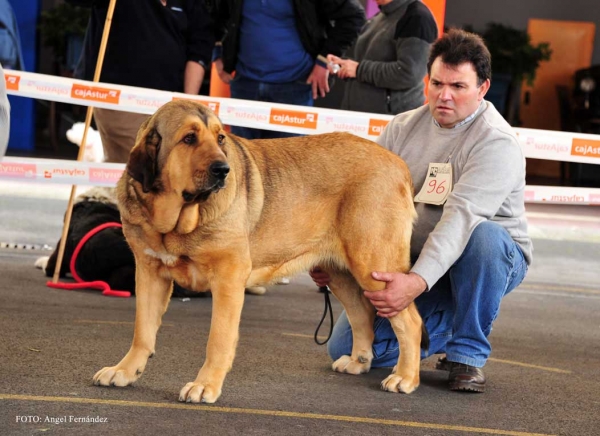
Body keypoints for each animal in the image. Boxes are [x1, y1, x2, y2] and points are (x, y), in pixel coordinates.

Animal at [91, 100, 424, 404]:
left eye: (220, 138)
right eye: (189, 138)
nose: (223, 169)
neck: (175, 223)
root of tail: (398, 164)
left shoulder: (228, 278)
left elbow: (218, 339)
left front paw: (205, 386)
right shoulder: (149, 272)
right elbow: (142, 331)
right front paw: (124, 370)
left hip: (374, 267)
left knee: (409, 322)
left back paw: (404, 378)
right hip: (338, 272)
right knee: (362, 312)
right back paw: (358, 362)